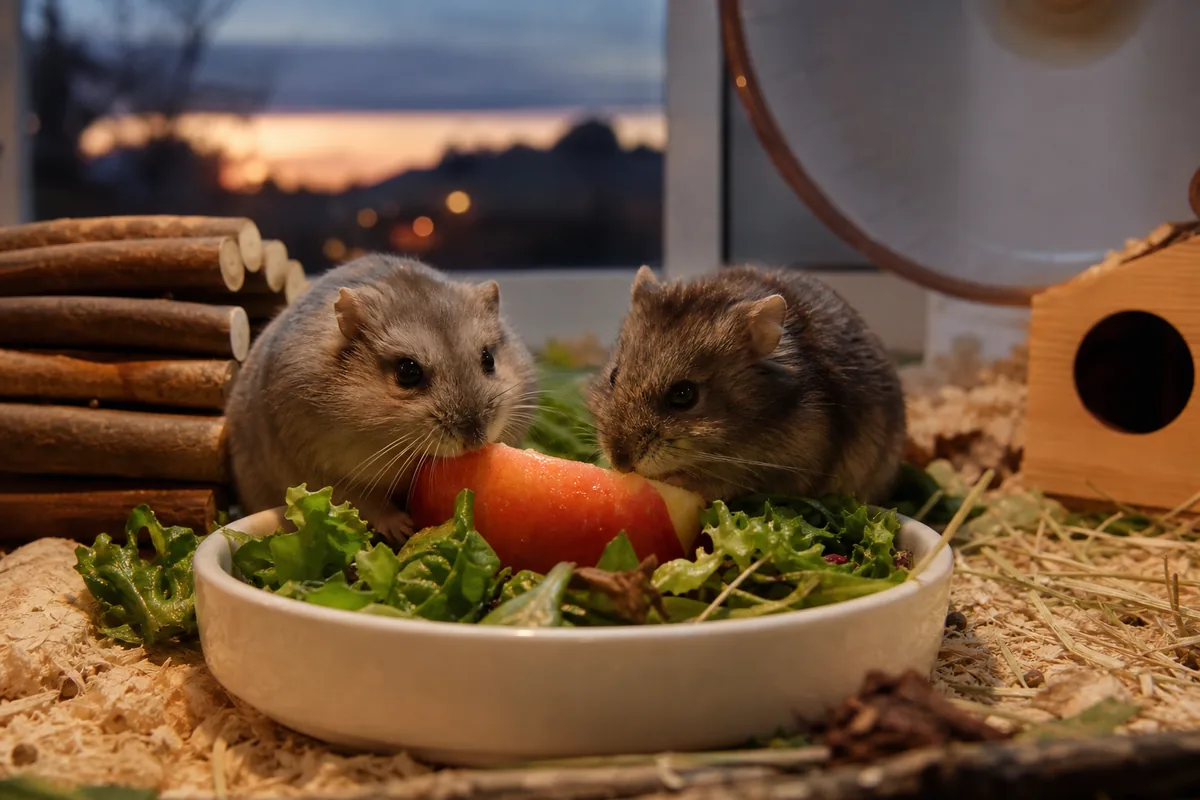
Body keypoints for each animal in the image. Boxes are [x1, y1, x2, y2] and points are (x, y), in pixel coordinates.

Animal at [226, 254, 538, 541]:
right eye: (407, 371)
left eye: (489, 359)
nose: (475, 440)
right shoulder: (322, 472)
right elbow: (363, 501)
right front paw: (403, 529)